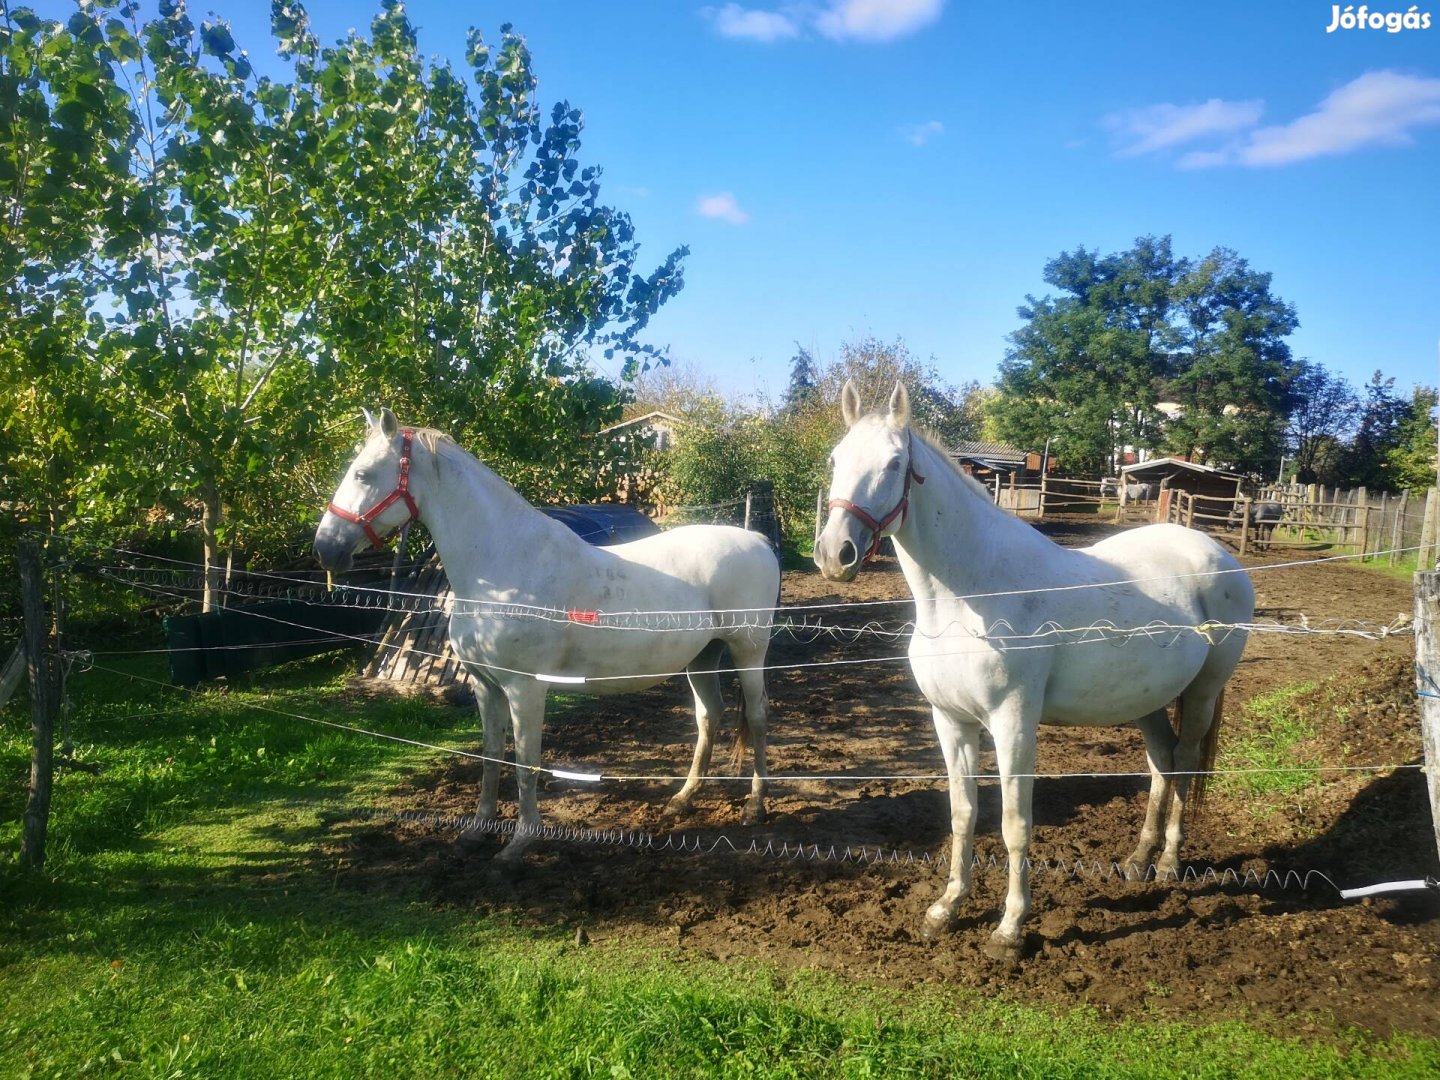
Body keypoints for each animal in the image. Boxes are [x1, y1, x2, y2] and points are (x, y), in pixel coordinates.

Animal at [312, 408, 777, 869]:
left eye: (363, 474)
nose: (325, 548)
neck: (506, 563)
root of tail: (758, 540)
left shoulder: (525, 689)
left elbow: (526, 765)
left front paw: (519, 844)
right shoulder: (485, 686)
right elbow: (490, 759)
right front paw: (475, 832)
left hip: (748, 651)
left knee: (756, 716)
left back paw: (755, 806)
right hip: (704, 656)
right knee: (708, 716)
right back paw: (682, 799)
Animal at [817, 385, 1255, 961]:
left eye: (893, 464)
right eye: (835, 459)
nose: (834, 554)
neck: (970, 595)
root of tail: (1220, 556)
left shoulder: (1013, 723)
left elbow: (1014, 825)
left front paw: (1010, 930)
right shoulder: (951, 722)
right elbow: (962, 814)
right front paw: (945, 909)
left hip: (1203, 692)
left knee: (1182, 764)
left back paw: (1167, 863)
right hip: (1148, 700)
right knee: (1161, 763)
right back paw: (1138, 861)